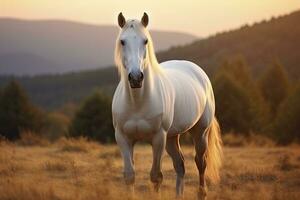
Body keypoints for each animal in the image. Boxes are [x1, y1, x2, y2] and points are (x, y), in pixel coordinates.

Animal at [111, 12, 221, 198]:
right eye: (122, 41)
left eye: (145, 41)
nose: (135, 78)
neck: (137, 102)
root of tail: (198, 71)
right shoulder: (123, 138)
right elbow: (130, 176)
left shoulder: (158, 138)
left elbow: (156, 177)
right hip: (171, 137)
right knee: (180, 165)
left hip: (200, 132)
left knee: (200, 162)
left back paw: (201, 193)